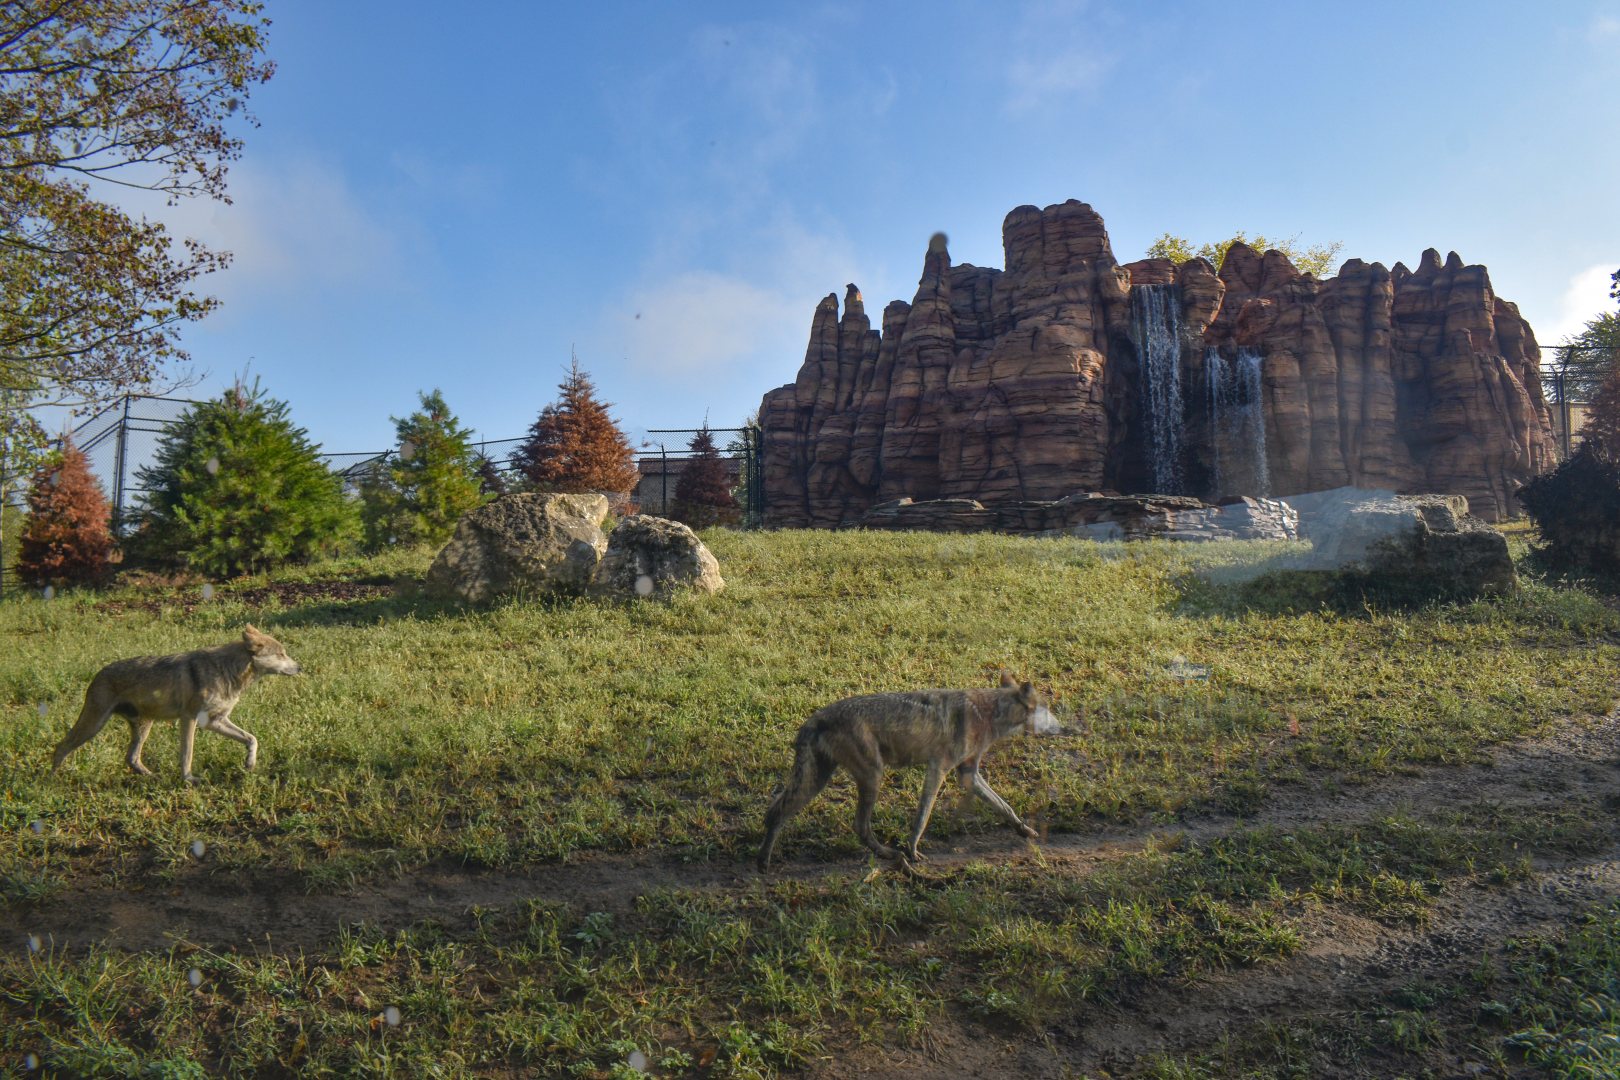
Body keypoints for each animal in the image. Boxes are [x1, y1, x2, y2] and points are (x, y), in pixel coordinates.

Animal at [50, 624, 302, 783]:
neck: (227, 670)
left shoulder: (215, 721)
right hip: (93, 726)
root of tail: (97, 674)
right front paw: (188, 780)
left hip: (143, 727)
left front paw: (250, 764)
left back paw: (152, 777)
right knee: (60, 747)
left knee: (131, 758)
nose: (300, 667)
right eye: (281, 654)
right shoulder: (189, 718)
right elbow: (186, 754)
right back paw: (53, 782)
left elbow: (252, 739)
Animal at [757, 670, 1063, 872]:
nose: (1062, 728)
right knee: (858, 825)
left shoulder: (968, 775)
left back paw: (764, 861)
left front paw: (1025, 831)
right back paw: (889, 854)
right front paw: (913, 850)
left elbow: (1004, 807)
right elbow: (922, 817)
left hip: (818, 781)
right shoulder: (938, 769)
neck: (987, 713)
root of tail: (815, 717)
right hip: (871, 777)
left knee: (776, 812)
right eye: (1048, 709)